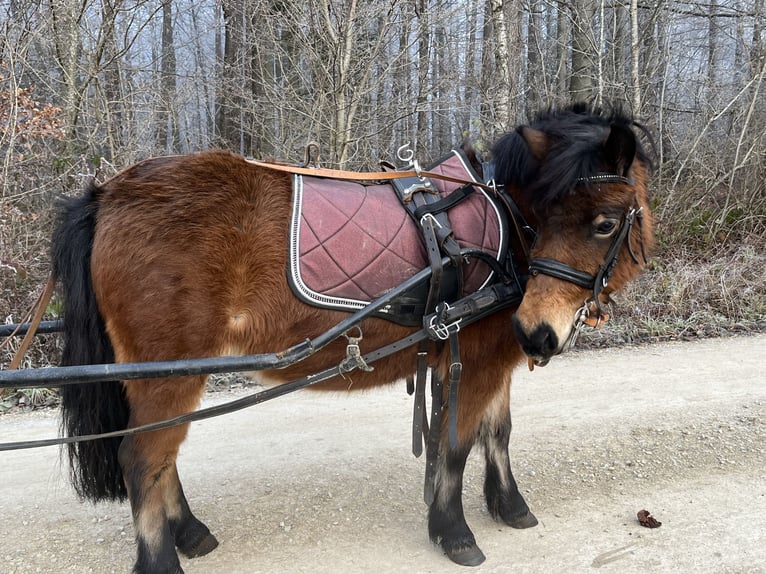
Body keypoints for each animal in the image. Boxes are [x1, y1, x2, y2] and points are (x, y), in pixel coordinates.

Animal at [52, 106, 656, 572]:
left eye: (603, 224)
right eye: (549, 217)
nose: (538, 333)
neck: (504, 219)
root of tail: (107, 193)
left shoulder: (491, 356)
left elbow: (498, 434)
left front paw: (509, 506)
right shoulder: (478, 359)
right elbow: (457, 444)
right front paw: (454, 531)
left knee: (163, 458)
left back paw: (192, 533)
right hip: (166, 373)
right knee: (143, 460)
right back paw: (161, 559)